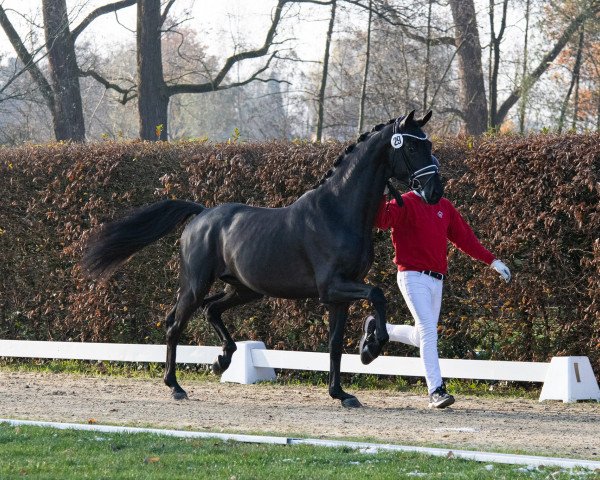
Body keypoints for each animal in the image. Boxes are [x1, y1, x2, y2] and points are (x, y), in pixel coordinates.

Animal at [82, 109, 442, 408]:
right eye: (412, 148)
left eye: (429, 144)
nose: (434, 191)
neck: (338, 212)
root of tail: (201, 214)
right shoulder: (333, 287)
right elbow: (377, 294)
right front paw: (371, 348)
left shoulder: (339, 296)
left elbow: (336, 344)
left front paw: (342, 392)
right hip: (196, 283)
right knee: (175, 323)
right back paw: (175, 386)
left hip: (244, 289)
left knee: (211, 310)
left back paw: (222, 360)